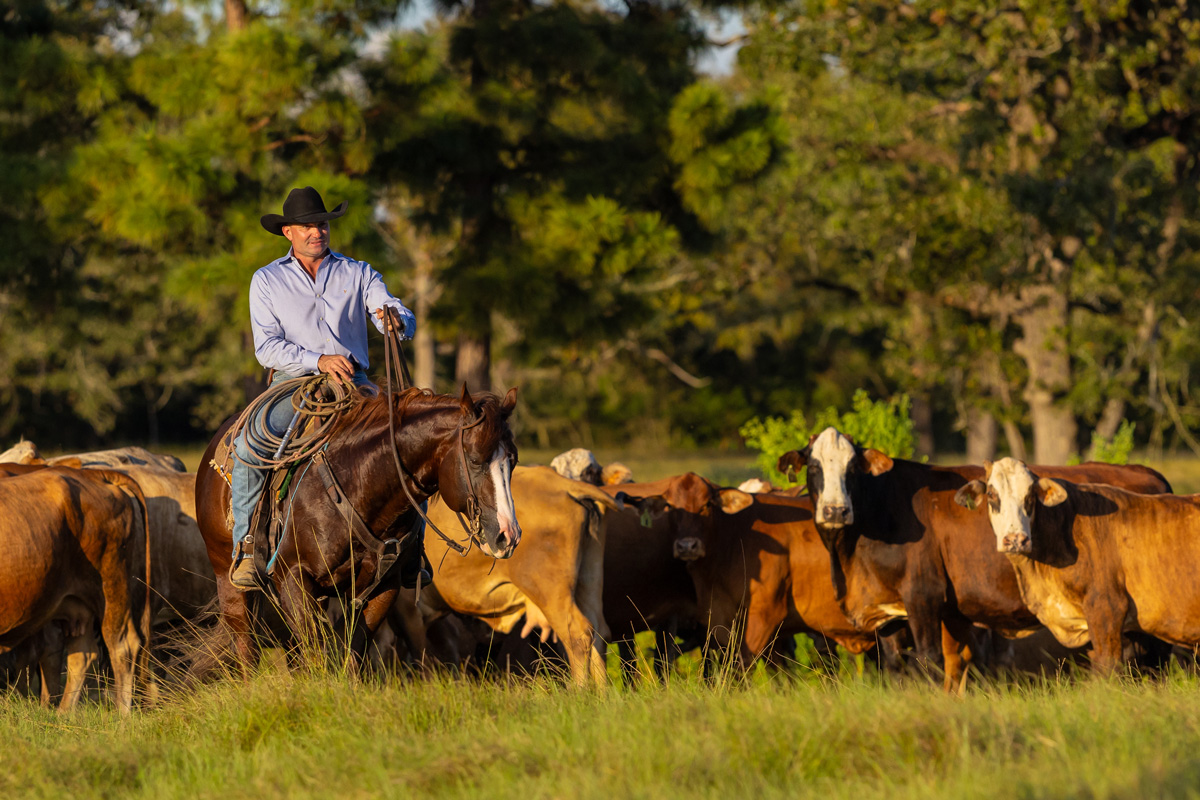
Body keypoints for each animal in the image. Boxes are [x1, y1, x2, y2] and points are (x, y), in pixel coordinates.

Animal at [0, 467, 149, 713]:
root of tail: (93, 473)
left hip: (111, 587)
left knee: (122, 645)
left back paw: (122, 714)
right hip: (76, 603)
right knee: (82, 654)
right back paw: (63, 713)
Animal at [423, 466, 618, 686]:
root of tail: (566, 485)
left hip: (550, 593)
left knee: (577, 634)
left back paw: (580, 690)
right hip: (589, 579)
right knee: (599, 633)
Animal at [778, 427, 1173, 689]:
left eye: (852, 469)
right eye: (814, 468)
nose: (835, 510)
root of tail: (1144, 471)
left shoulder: (923, 596)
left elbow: (930, 661)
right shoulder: (887, 609)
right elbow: (895, 665)